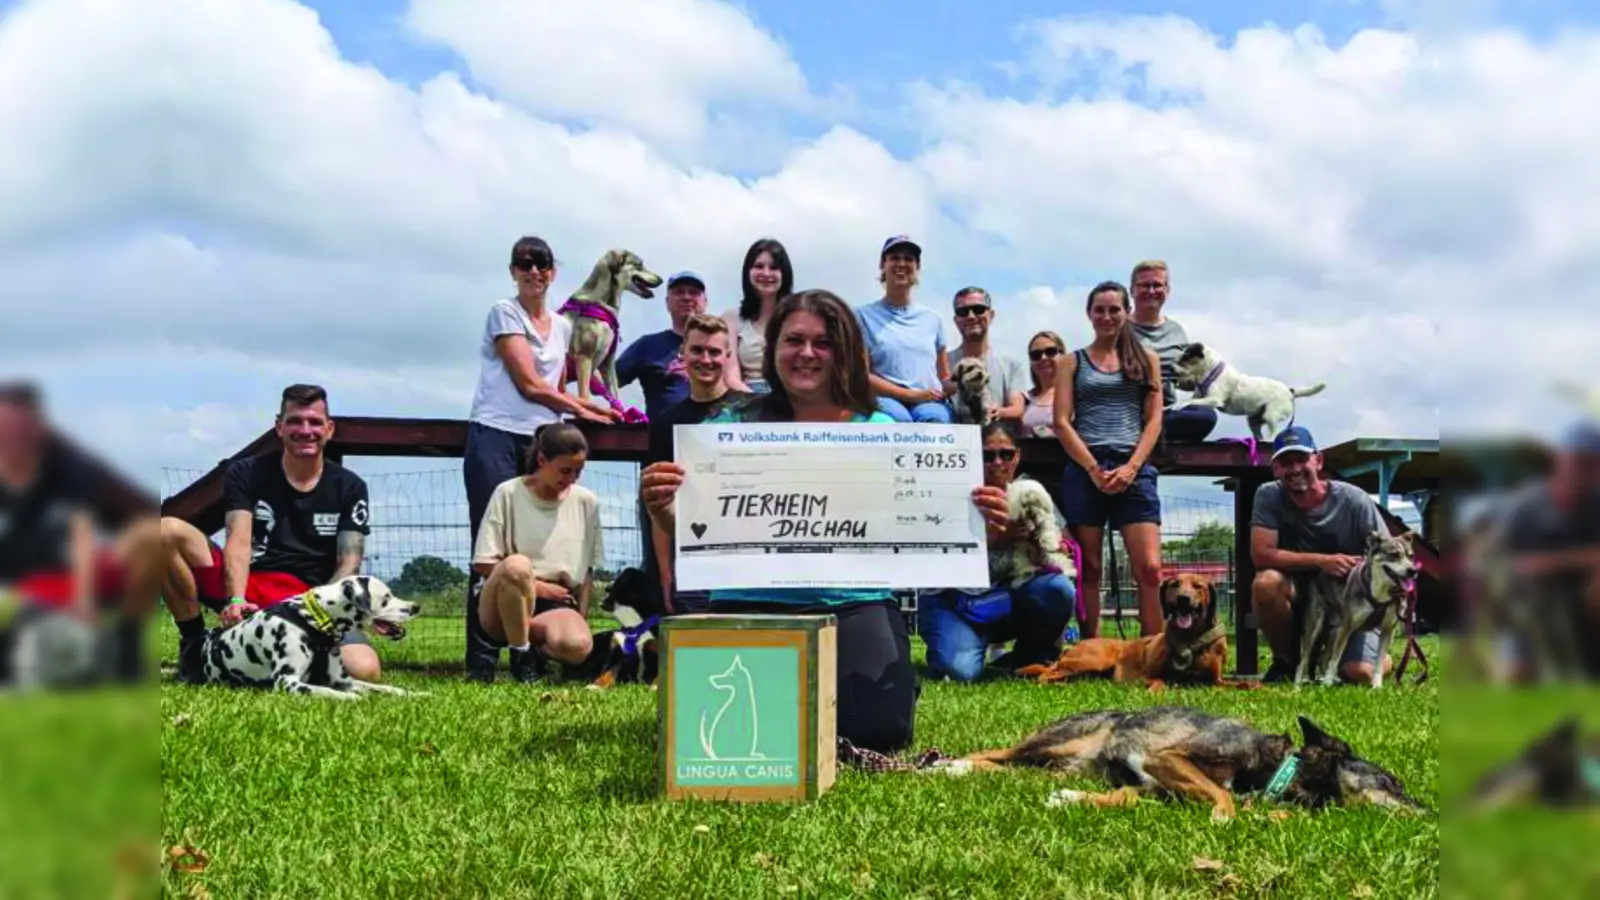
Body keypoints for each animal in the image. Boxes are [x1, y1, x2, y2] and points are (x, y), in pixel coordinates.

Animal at [197, 573, 425, 701]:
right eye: (386, 598)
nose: (416, 607)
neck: (311, 619)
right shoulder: (287, 682)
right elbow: (329, 692)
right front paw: (354, 697)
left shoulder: (342, 679)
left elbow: (384, 688)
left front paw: (414, 694)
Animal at [1017, 570, 1254, 688]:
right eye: (1174, 584)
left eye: (1198, 586)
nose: (1183, 599)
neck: (1190, 639)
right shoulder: (1143, 675)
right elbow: (1160, 681)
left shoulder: (1216, 681)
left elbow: (1239, 684)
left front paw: (1253, 685)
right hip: (1094, 660)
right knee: (1045, 676)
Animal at [1164, 339, 1324, 441]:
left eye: (1184, 358)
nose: (1170, 368)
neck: (1211, 372)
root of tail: (1290, 391)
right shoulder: (1200, 395)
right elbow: (1191, 399)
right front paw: (1168, 407)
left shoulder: (1214, 399)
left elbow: (1189, 401)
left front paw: (1179, 405)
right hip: (1253, 420)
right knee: (1257, 434)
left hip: (1271, 415)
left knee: (1273, 434)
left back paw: (1268, 440)